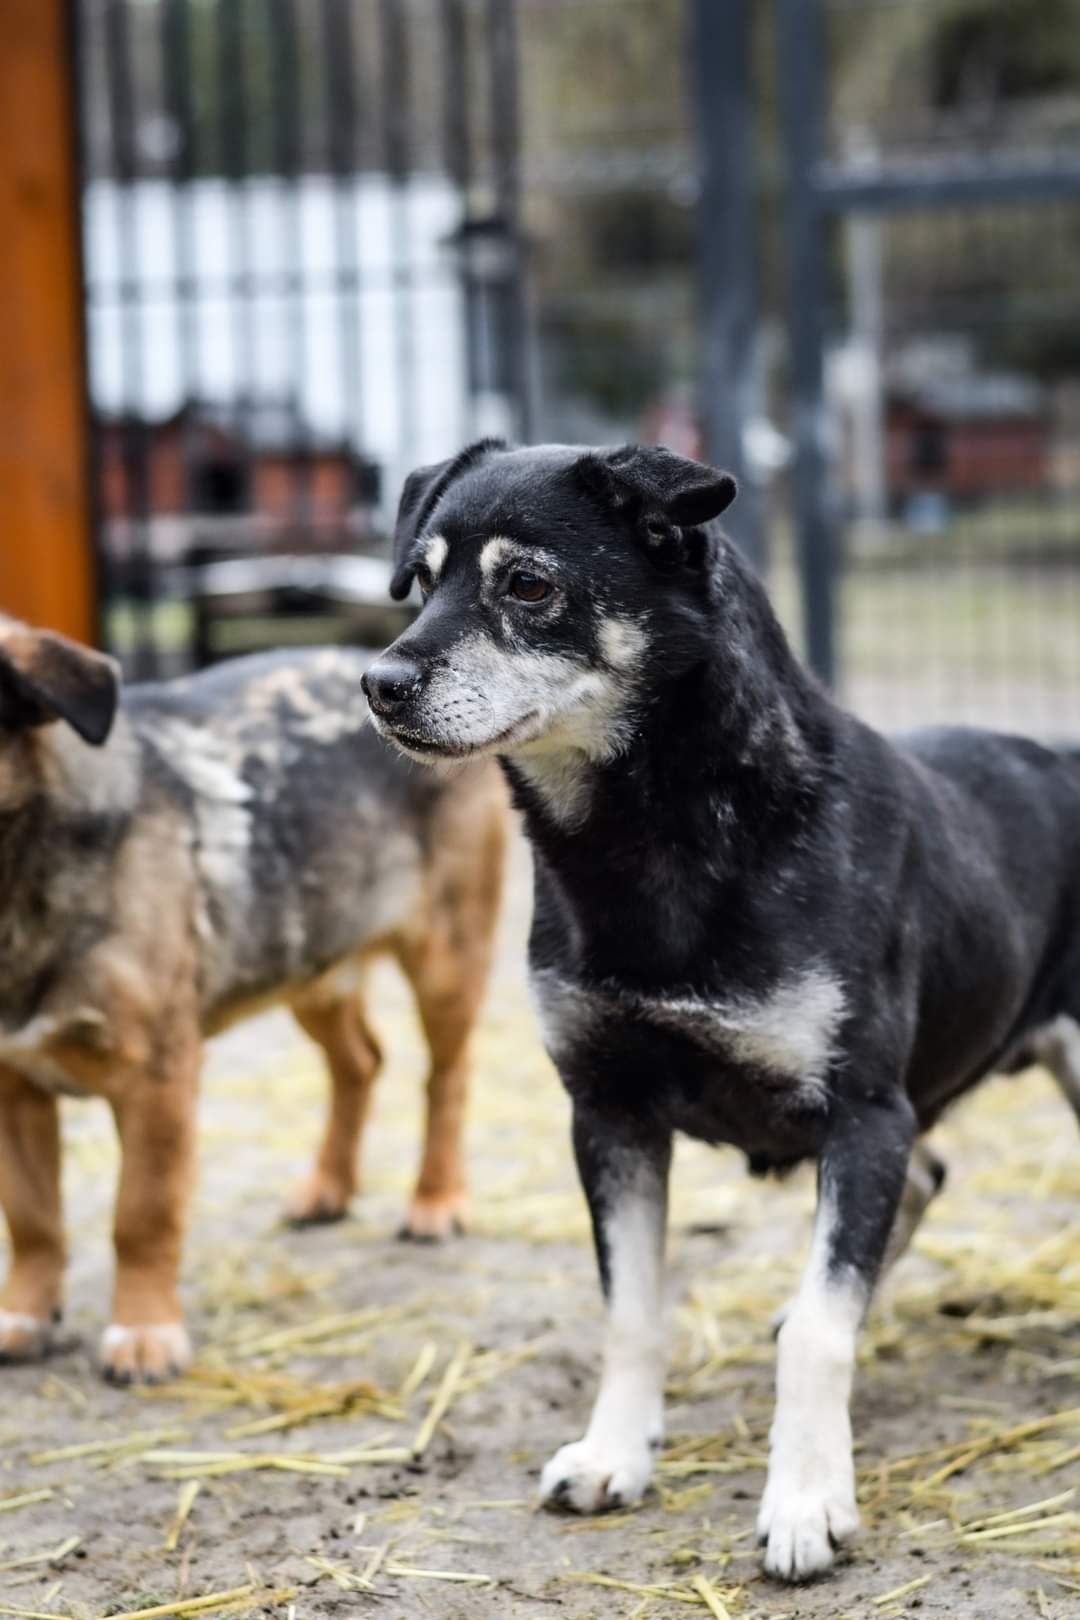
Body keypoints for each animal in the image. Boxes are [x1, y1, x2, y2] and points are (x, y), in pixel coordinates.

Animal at [0, 615, 508, 1380]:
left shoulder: (158, 1080)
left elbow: (141, 1214)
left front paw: (143, 1330)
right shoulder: (14, 1087)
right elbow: (32, 1222)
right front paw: (24, 1317)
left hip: (446, 958)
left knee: (446, 1076)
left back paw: (436, 1199)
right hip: (310, 962)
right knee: (360, 1063)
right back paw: (328, 1188)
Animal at [361, 443, 1080, 1581]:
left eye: (530, 585)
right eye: (421, 581)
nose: (379, 684)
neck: (657, 836)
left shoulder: (863, 1112)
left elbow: (823, 1332)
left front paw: (807, 1498)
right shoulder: (609, 1112)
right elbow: (632, 1310)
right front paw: (615, 1454)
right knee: (926, 1177)